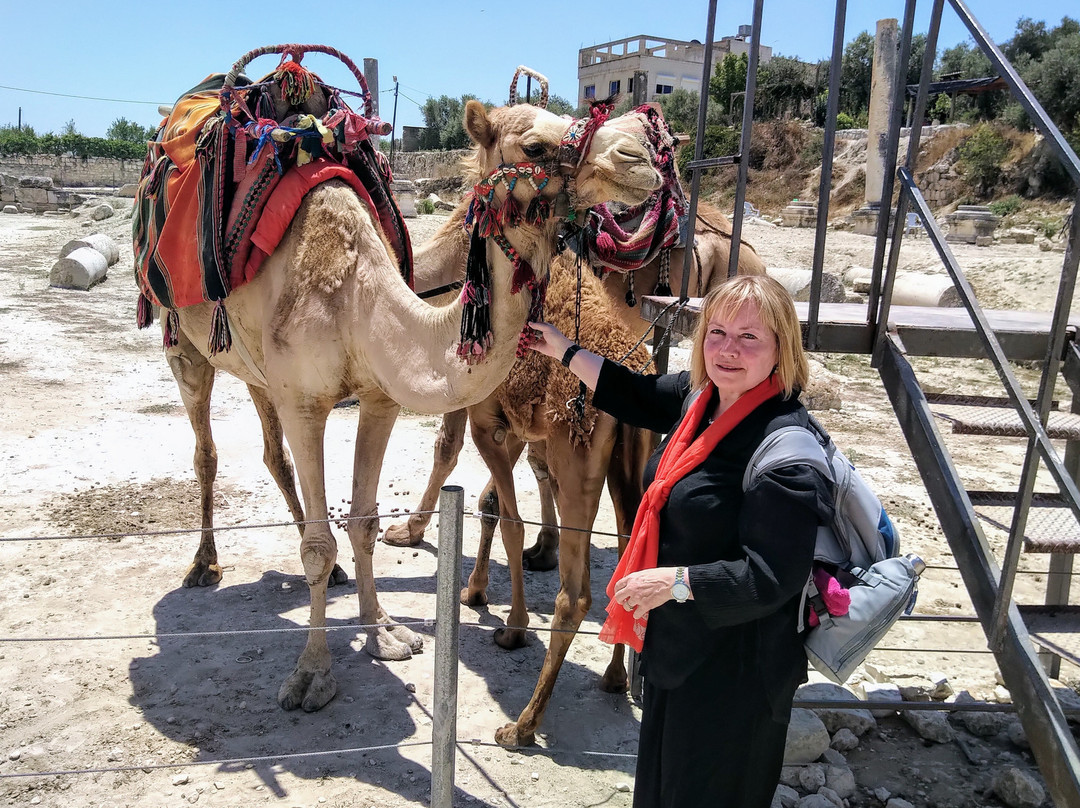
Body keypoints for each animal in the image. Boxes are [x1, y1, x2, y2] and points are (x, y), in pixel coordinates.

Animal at [151, 102, 656, 712]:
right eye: (534, 145)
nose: (641, 157)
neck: (358, 297)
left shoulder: (379, 397)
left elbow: (363, 521)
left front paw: (385, 631)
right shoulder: (304, 401)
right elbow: (319, 542)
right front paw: (312, 674)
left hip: (256, 367)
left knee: (273, 453)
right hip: (182, 340)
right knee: (206, 450)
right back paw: (205, 564)